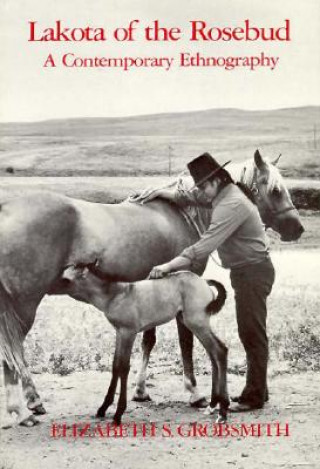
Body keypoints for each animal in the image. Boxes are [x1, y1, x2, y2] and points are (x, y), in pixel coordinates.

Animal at [61, 262, 229, 422]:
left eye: (66, 279)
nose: (56, 286)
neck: (116, 295)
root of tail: (204, 281)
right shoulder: (119, 333)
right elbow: (115, 366)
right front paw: (103, 408)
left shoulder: (128, 332)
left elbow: (123, 367)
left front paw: (118, 413)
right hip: (191, 322)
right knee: (214, 354)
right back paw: (213, 404)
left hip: (196, 322)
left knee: (220, 350)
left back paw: (222, 408)